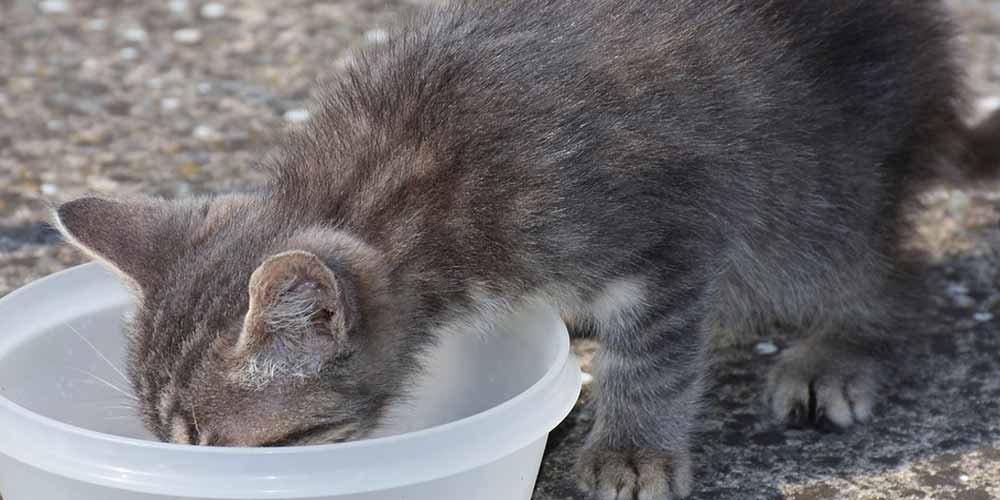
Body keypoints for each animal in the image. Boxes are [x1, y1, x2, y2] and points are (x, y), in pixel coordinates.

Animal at [54, 0, 1000, 498]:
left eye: (224, 448)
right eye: (167, 444)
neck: (399, 185)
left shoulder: (667, 234)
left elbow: (653, 359)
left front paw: (631, 448)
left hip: (810, 196)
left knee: (887, 275)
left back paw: (838, 348)